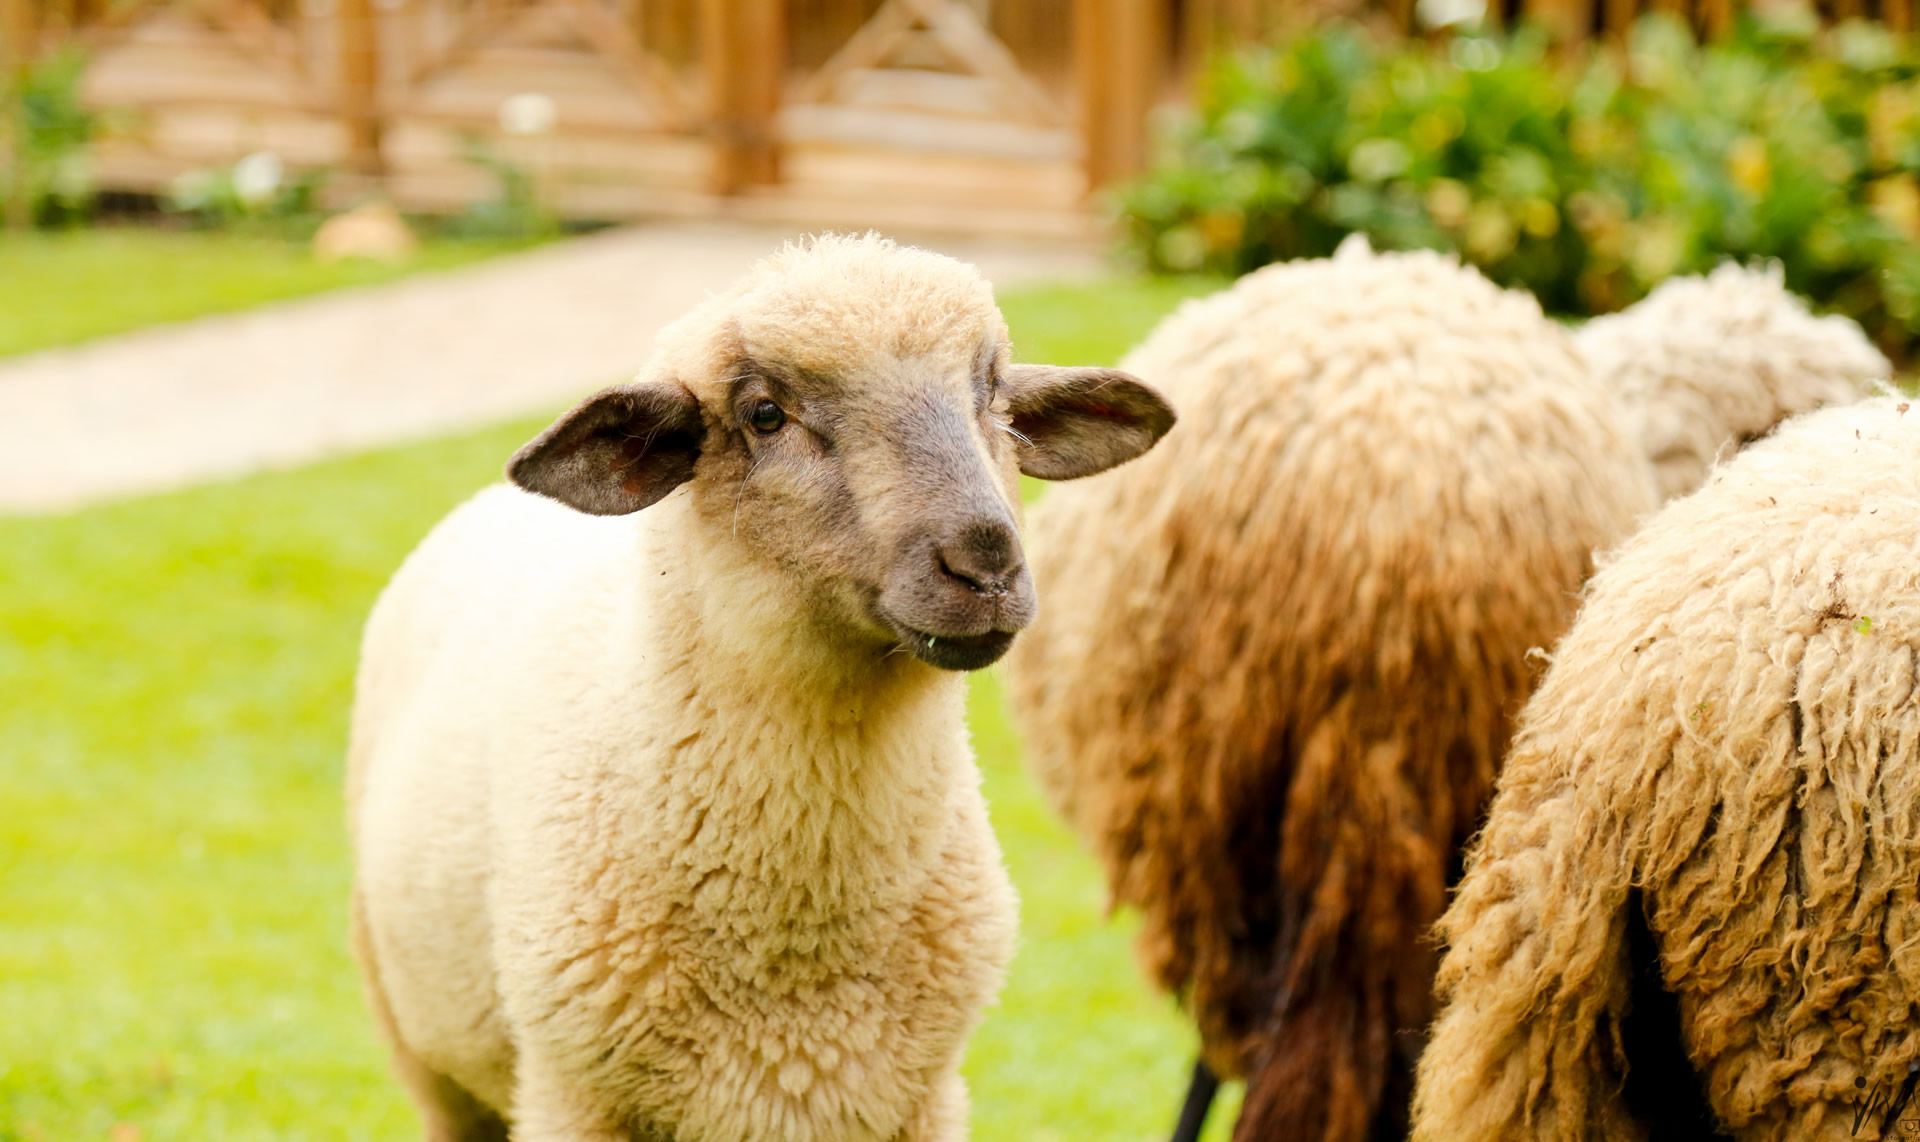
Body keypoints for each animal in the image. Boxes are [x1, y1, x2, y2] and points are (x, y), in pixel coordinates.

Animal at [353, 234, 1175, 1142]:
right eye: (764, 415)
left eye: (992, 397)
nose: (987, 564)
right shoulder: (573, 1096)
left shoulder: (920, 1099)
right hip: (424, 1052)